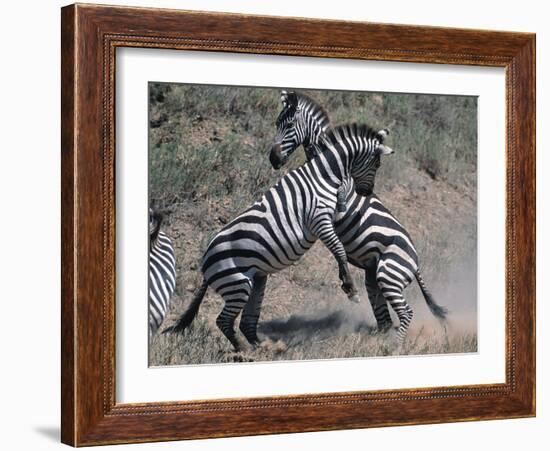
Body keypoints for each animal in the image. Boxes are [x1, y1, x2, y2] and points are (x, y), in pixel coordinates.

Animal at [166, 123, 394, 354]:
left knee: (246, 321)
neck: (323, 175)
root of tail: (205, 263)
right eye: (377, 164)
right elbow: (338, 250)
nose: (366, 192)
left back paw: (263, 346)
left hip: (255, 279)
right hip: (237, 284)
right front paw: (350, 288)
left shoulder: (330, 216)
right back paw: (245, 350)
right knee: (223, 321)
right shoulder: (319, 219)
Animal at [270, 92, 450, 342]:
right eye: (276, 123)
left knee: (405, 312)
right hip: (374, 277)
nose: (273, 158)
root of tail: (416, 263)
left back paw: (393, 346)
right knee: (384, 317)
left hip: (389, 274)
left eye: (288, 126)